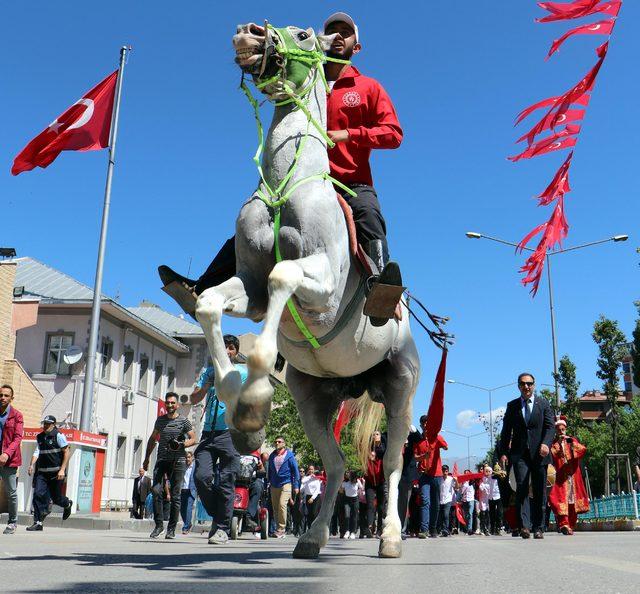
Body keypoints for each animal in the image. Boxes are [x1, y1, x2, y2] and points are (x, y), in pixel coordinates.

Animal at [198, 19, 422, 556]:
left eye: (302, 34)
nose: (248, 33)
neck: (287, 185)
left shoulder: (322, 289)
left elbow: (283, 277)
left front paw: (256, 387)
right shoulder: (250, 290)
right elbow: (210, 303)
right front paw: (240, 404)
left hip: (401, 388)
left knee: (392, 467)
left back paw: (389, 536)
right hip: (311, 399)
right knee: (337, 465)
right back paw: (314, 536)